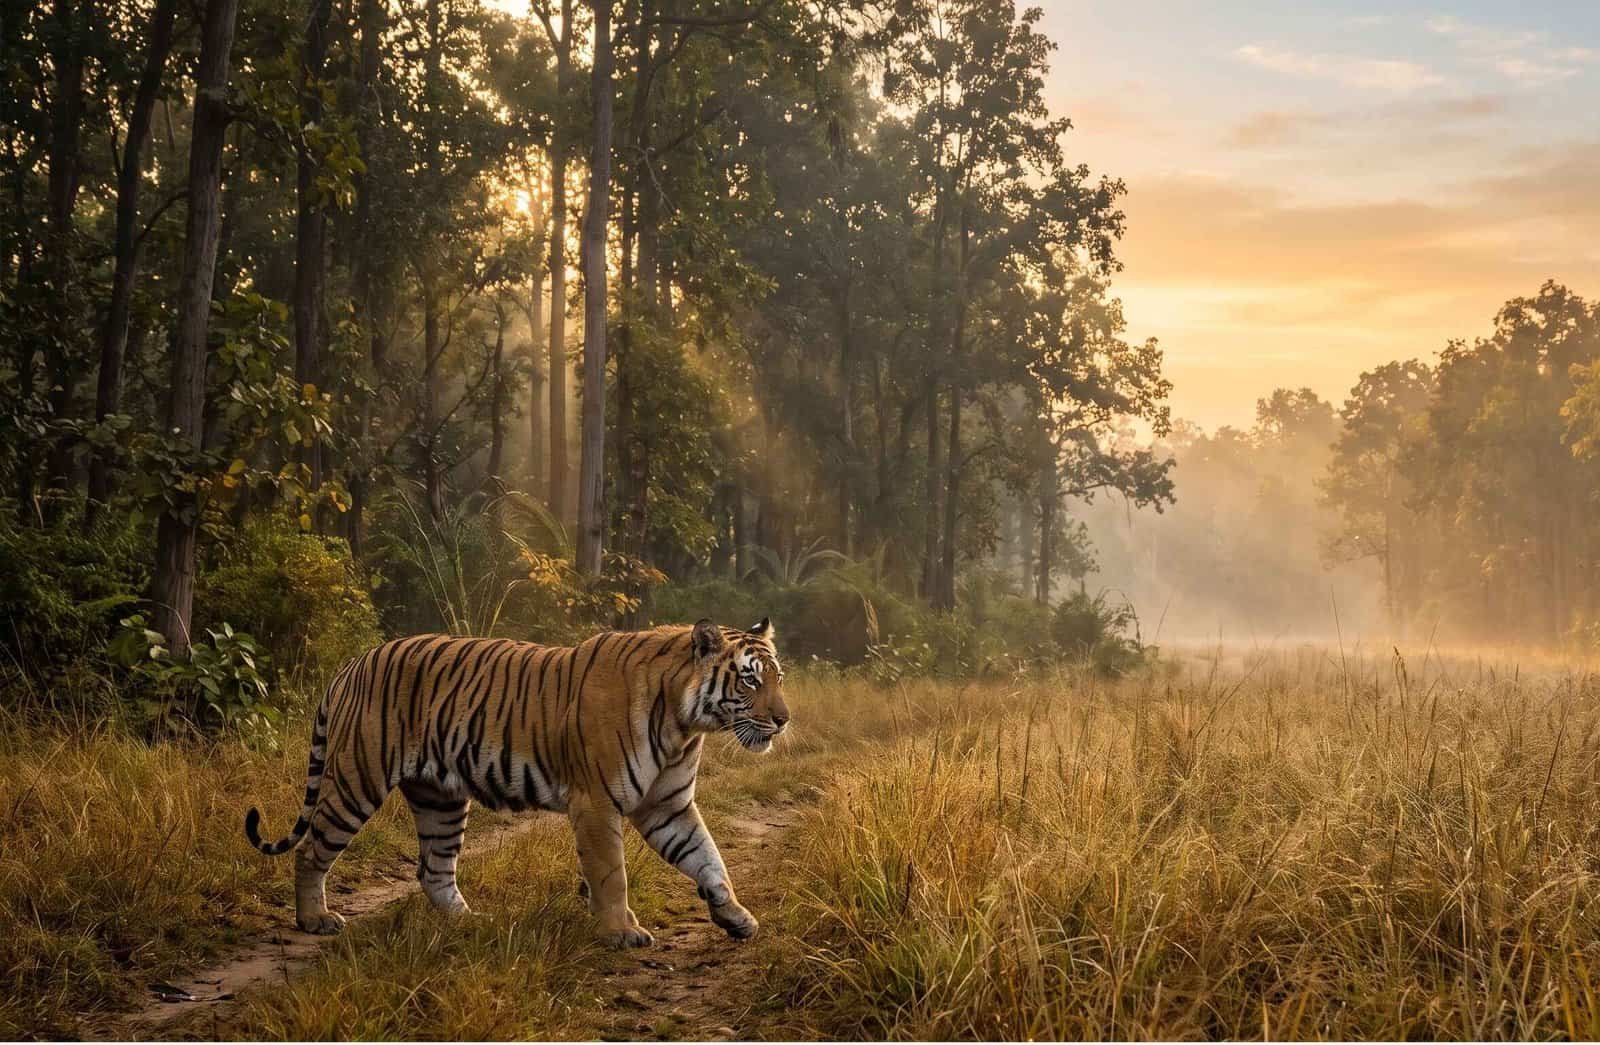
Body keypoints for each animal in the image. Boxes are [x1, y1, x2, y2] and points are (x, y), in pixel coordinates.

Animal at [243, 617, 788, 948]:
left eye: (778, 679)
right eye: (749, 680)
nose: (784, 720)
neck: (683, 723)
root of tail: (352, 664)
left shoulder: (667, 805)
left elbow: (708, 858)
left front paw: (735, 915)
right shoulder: (596, 803)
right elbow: (611, 874)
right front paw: (620, 931)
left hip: (440, 798)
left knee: (434, 870)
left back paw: (469, 923)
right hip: (358, 779)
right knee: (310, 850)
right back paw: (314, 919)